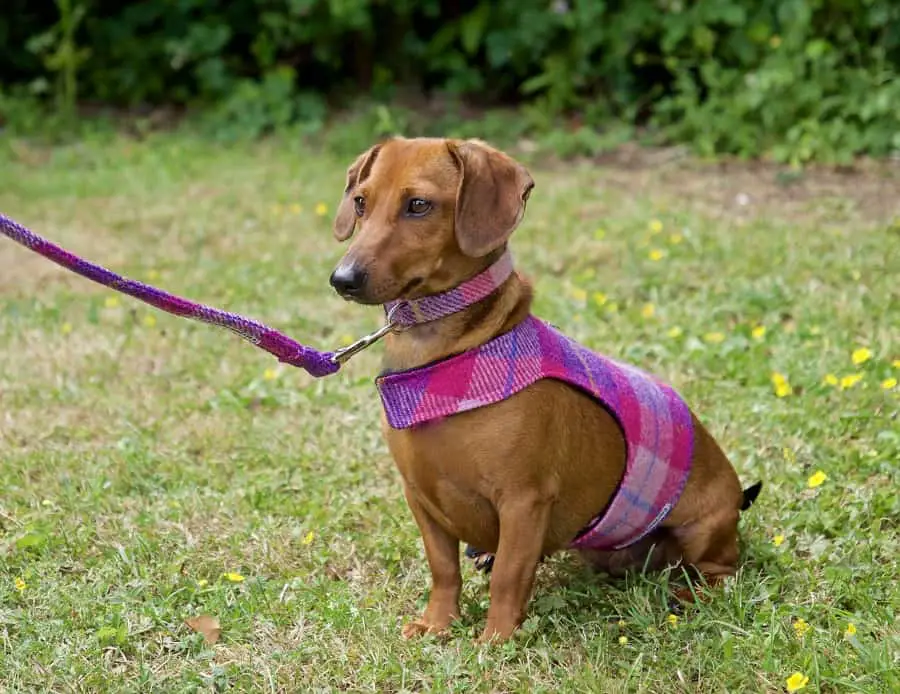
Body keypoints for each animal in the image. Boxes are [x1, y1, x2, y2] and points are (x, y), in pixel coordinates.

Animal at [326, 137, 764, 648]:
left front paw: (495, 640)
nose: (342, 279)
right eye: (361, 202)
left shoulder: (524, 501)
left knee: (721, 572)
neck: (443, 361)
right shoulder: (421, 498)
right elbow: (443, 568)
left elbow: (509, 577)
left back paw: (686, 595)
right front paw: (438, 623)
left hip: (703, 529)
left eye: (418, 205)